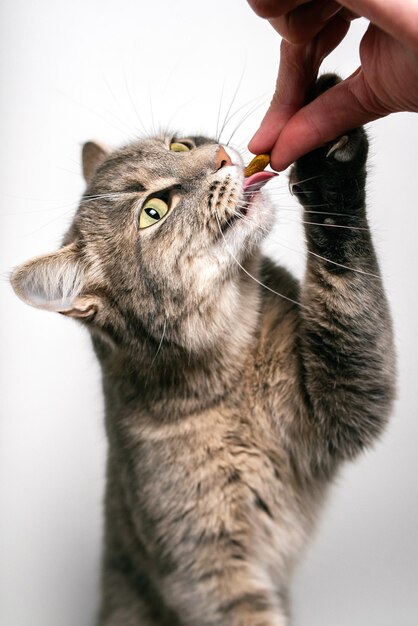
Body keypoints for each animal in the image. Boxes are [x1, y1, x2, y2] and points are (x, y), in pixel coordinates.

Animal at [10, 78, 396, 624]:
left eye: (178, 146)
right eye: (153, 211)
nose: (220, 157)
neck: (233, 379)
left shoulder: (345, 397)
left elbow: (348, 295)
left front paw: (327, 145)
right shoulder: (208, 570)